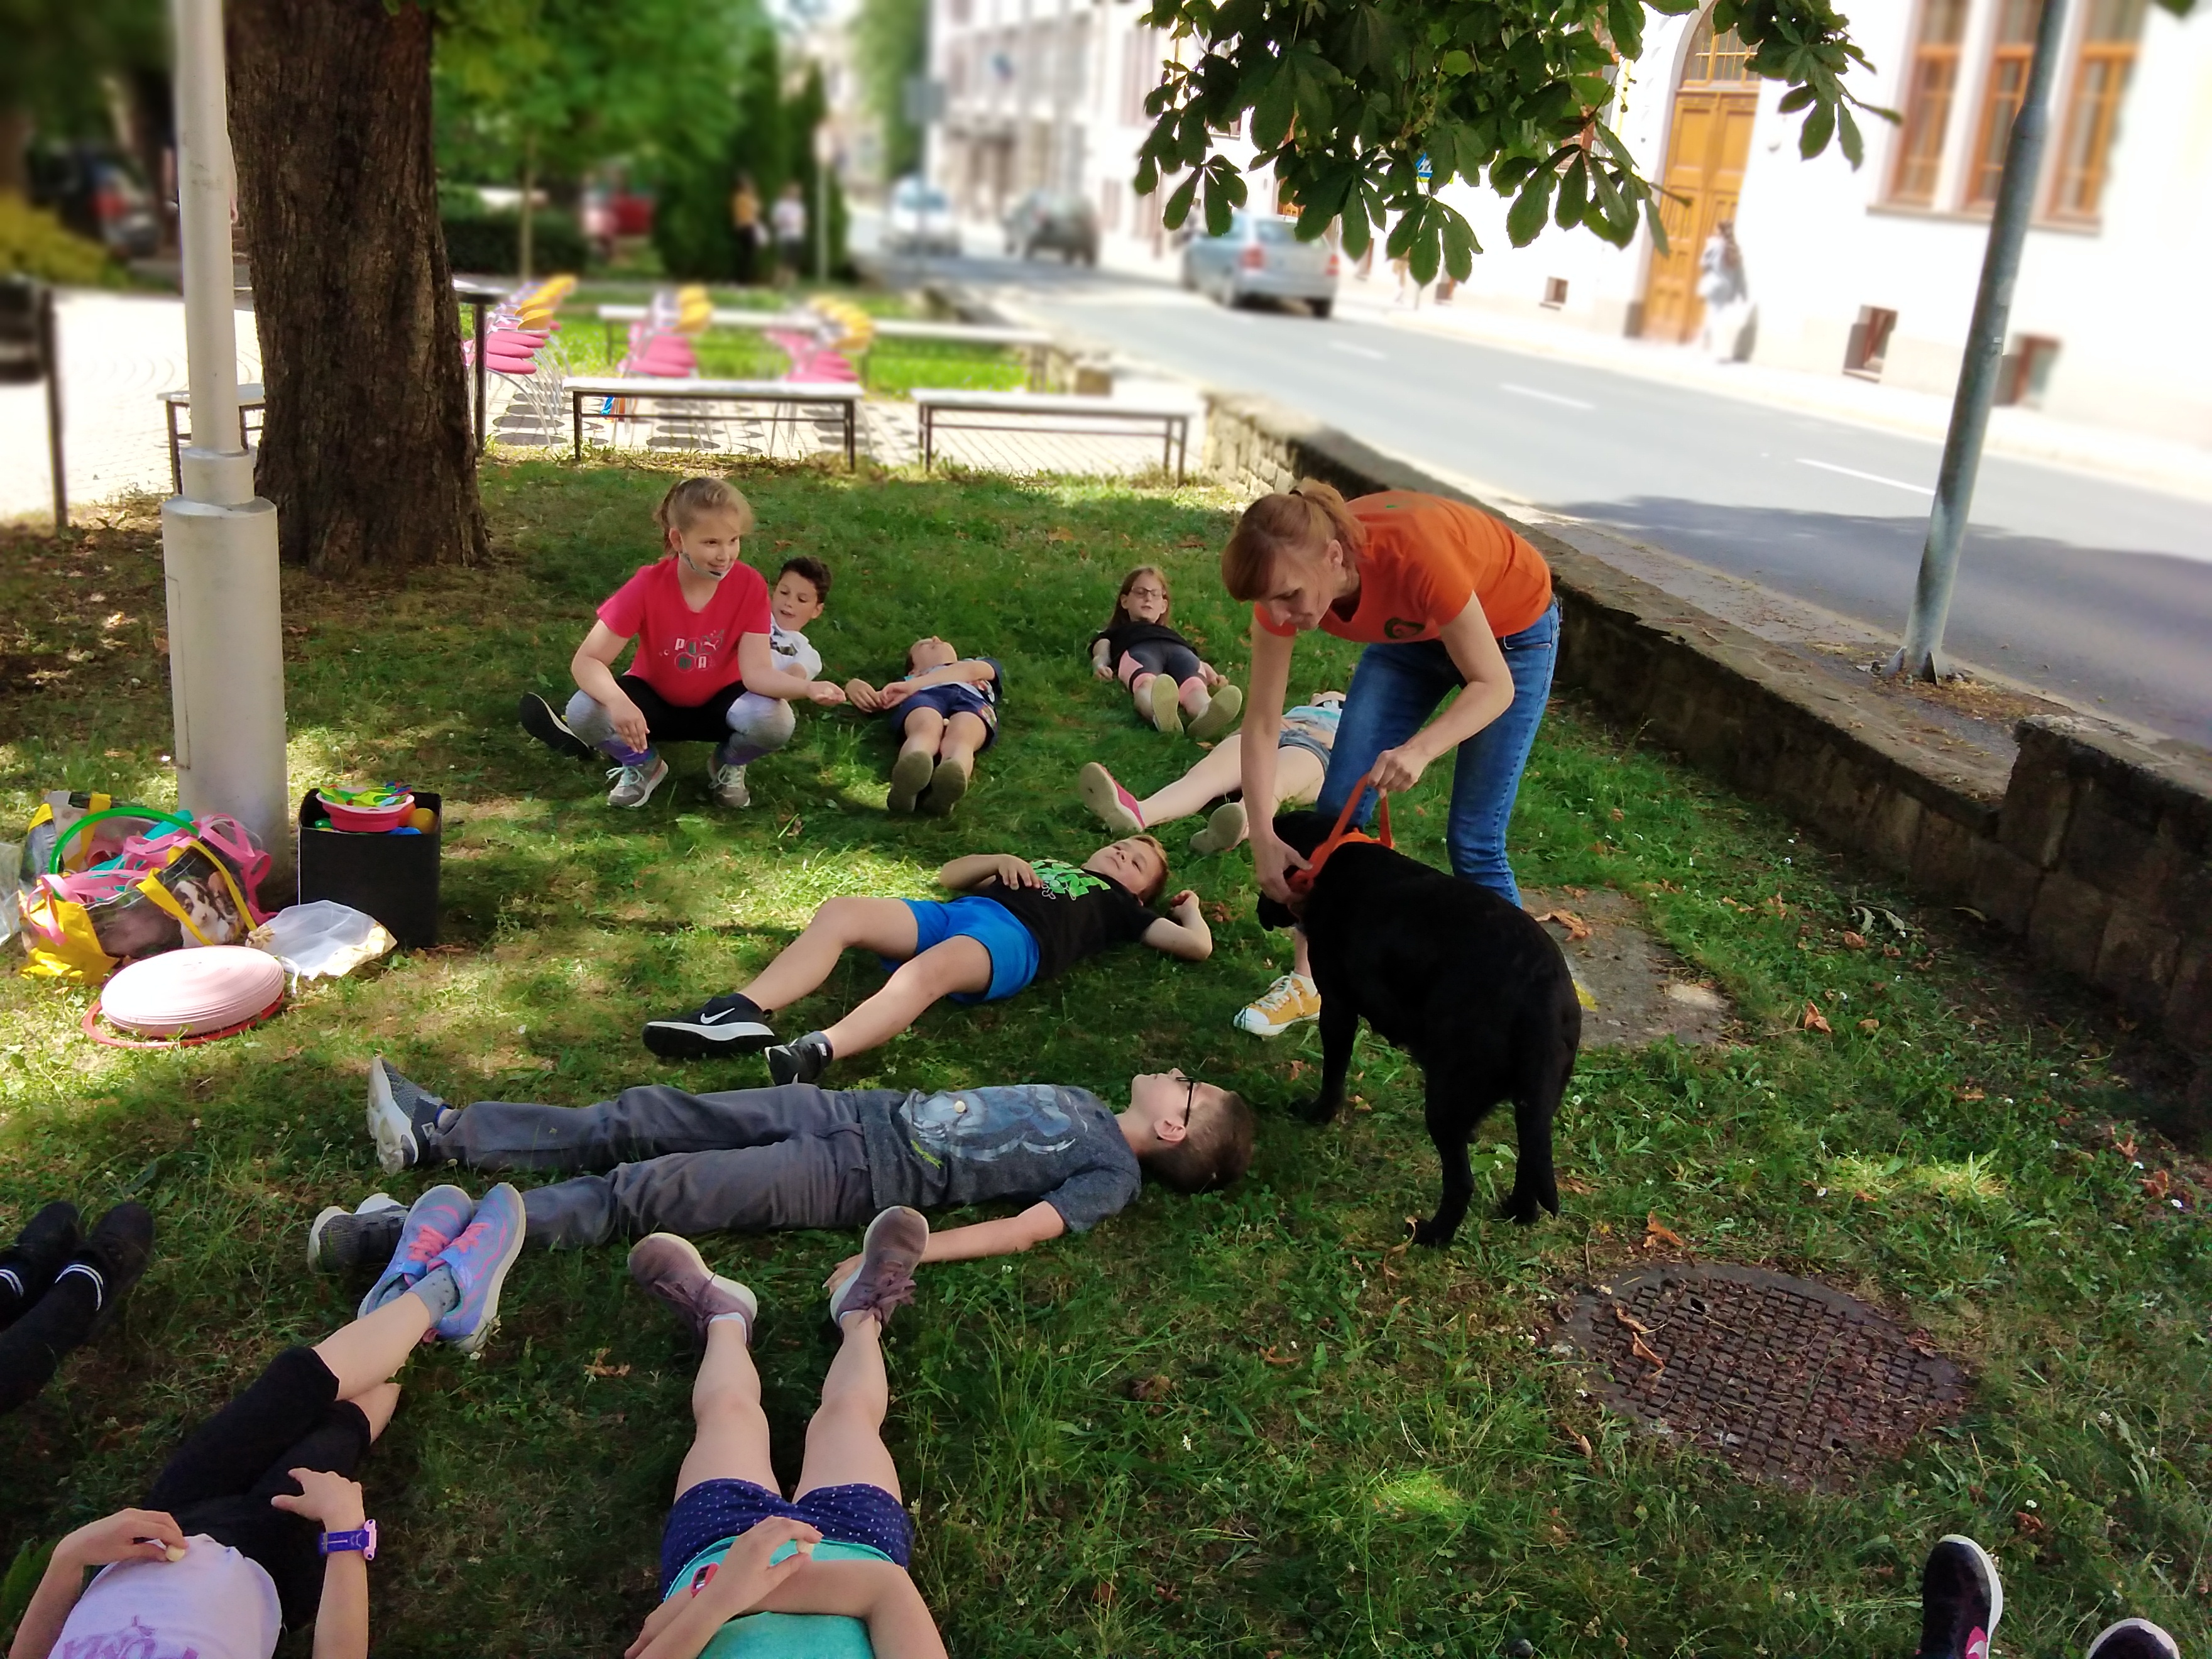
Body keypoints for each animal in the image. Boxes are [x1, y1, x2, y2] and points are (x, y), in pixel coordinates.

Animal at [1258, 807, 1581, 1245]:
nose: (1261, 911)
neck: (1332, 854)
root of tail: (1542, 998)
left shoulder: (1338, 1009)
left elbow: (1333, 1075)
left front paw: (1318, 1114)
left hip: (1445, 1099)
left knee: (1462, 1183)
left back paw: (1433, 1235)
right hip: (1535, 1101)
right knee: (1530, 1159)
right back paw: (1517, 1212)